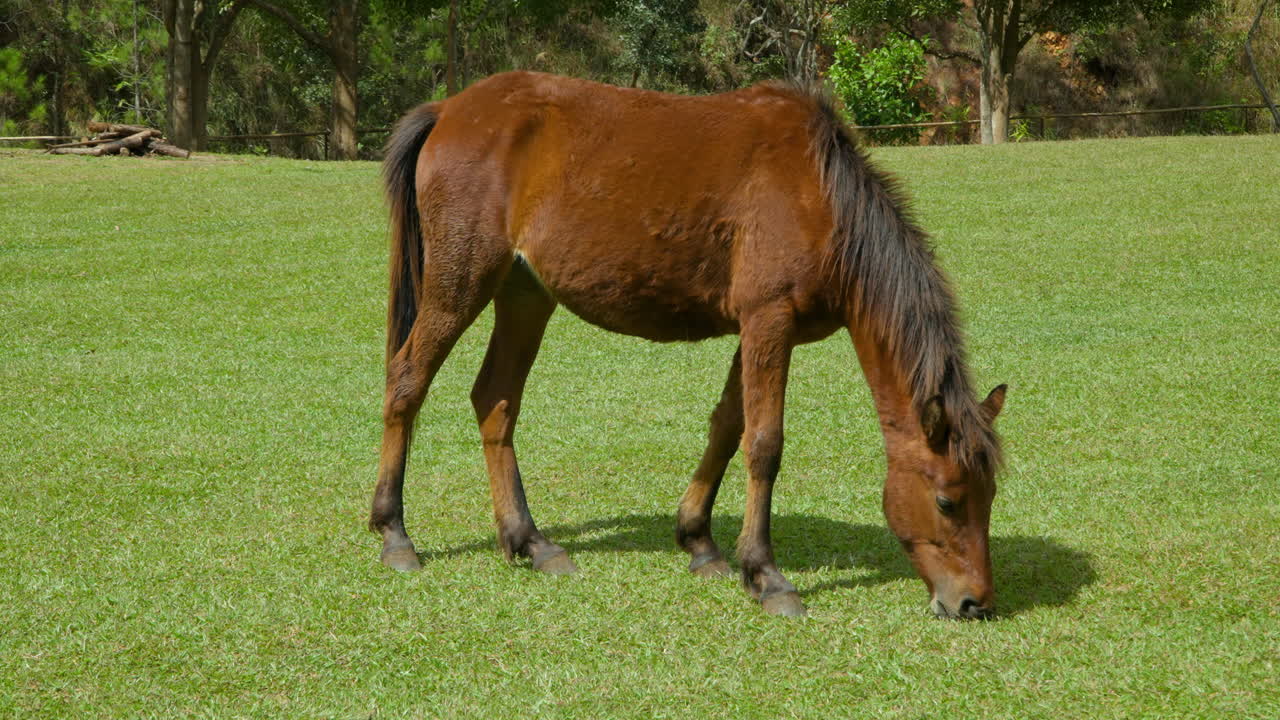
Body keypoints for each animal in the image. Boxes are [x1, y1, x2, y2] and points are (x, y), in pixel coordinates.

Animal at [370, 71, 1007, 619]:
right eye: (947, 501)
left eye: (991, 496)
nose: (973, 602)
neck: (820, 194)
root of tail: (450, 109)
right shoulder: (769, 321)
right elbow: (764, 445)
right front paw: (766, 574)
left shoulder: (758, 330)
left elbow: (727, 426)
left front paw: (700, 542)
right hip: (460, 284)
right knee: (406, 383)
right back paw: (395, 534)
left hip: (525, 295)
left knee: (495, 401)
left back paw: (529, 541)